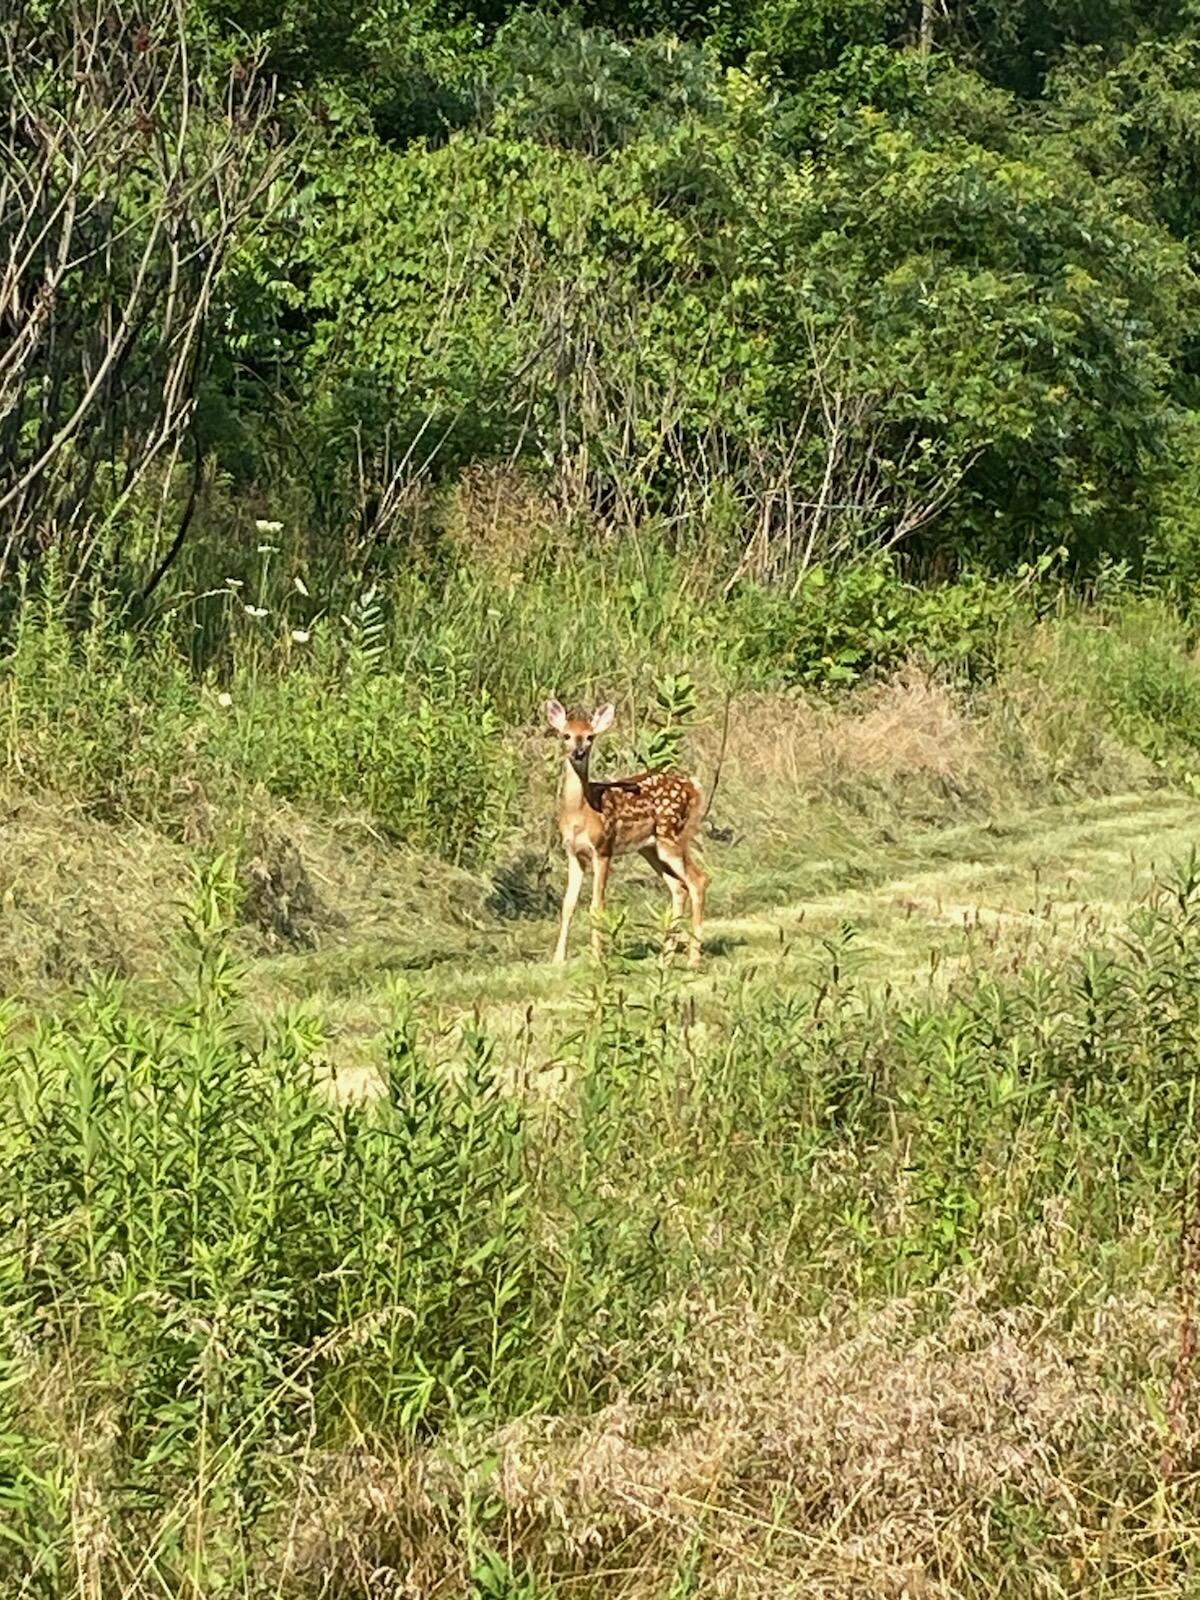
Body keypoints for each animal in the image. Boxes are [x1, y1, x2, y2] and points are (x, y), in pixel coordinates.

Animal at [544, 698, 708, 967]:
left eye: (590, 737)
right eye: (566, 735)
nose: (578, 753)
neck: (581, 811)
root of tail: (694, 786)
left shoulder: (603, 848)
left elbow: (596, 906)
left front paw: (596, 960)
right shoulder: (573, 853)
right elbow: (568, 904)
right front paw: (558, 959)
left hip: (671, 835)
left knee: (698, 880)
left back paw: (693, 960)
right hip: (650, 848)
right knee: (679, 888)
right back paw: (665, 958)